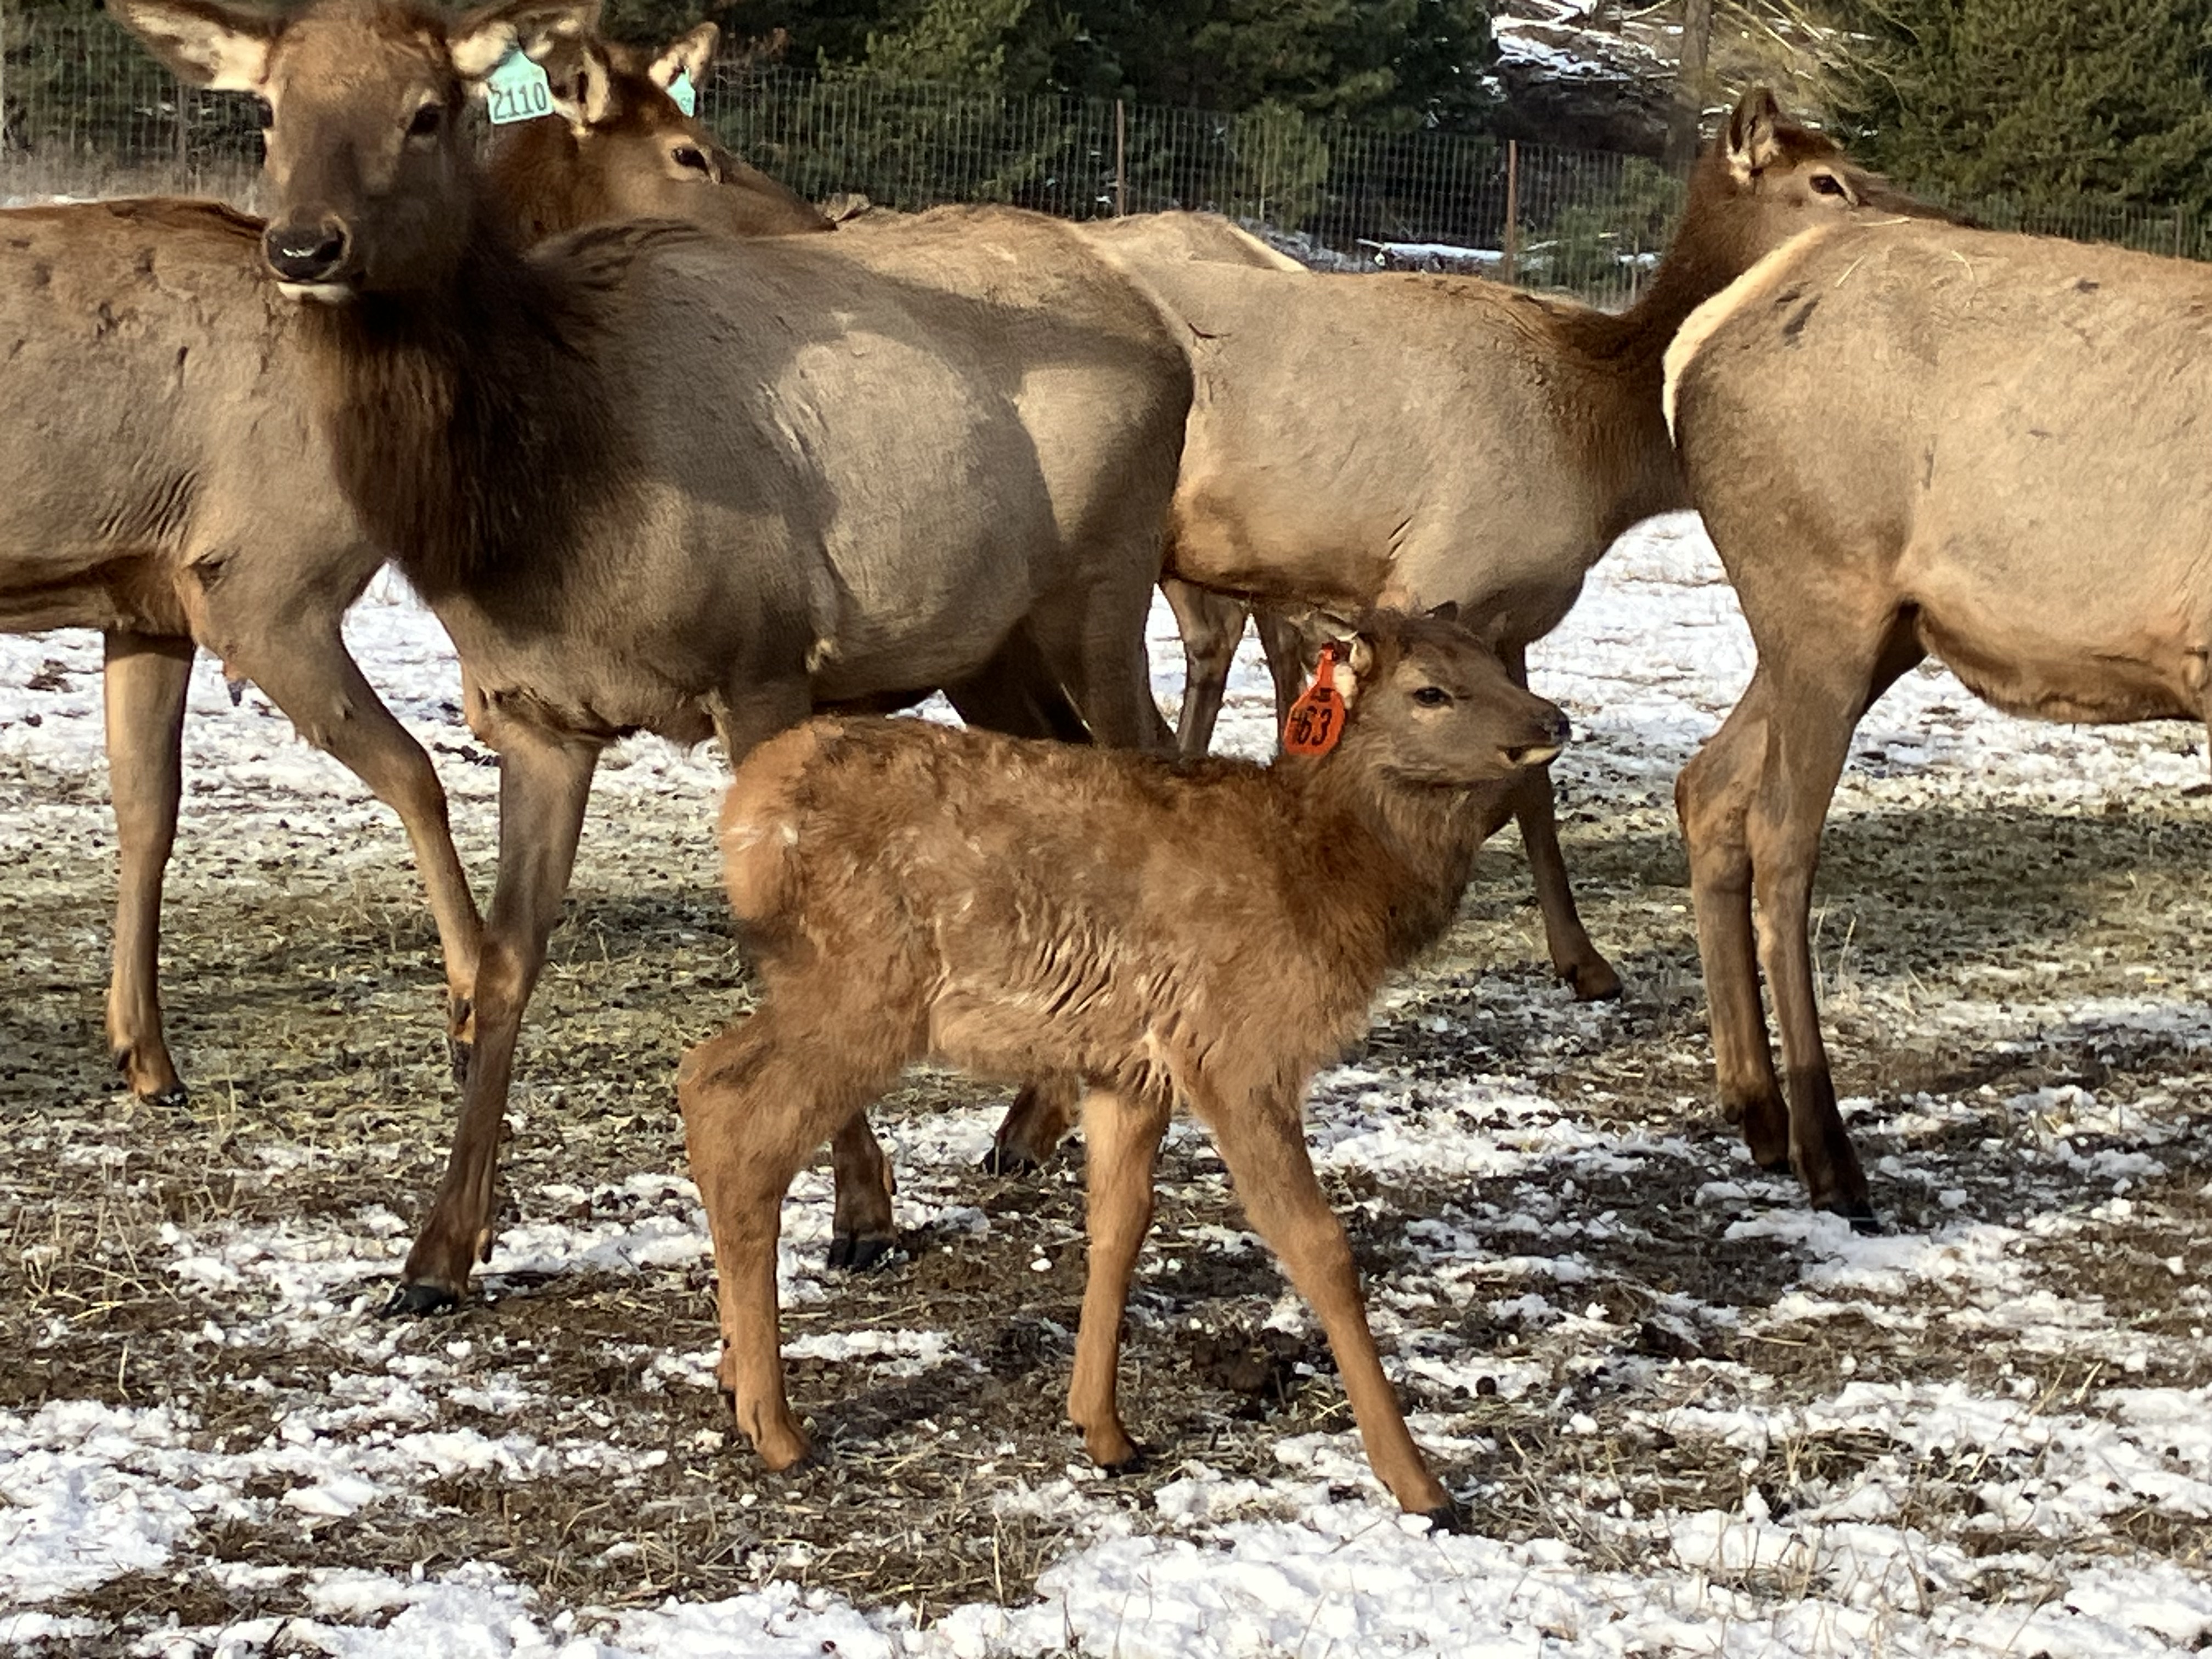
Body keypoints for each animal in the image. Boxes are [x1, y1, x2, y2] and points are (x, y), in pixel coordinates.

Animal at [0, 18, 818, 1107]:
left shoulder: (149, 595)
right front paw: (470, 1007)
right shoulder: (263, 583)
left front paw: (146, 1054)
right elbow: (418, 775)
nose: (819, 222)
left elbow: (147, 809)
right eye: (692, 152)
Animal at [114, 0, 1193, 1314]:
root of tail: (1163, 328)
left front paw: (864, 1212)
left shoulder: (763, 662)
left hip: (1105, 587)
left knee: (1147, 771)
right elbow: (508, 963)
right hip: (983, 642)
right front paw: (437, 1253)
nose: (304, 246)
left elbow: (785, 953)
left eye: (429, 112)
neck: (546, 509)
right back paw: (1028, 1123)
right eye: (269, 111)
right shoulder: (535, 713)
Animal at [679, 607, 1570, 1528]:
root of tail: (743, 818)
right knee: (738, 1122)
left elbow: (1118, 1224)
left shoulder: (1130, 1067)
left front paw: (1102, 1429)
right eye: (1432, 690)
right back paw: (777, 1426)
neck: (1328, 883)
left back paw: (735, 1376)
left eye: (1494, 661)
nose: (1553, 723)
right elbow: (1316, 1244)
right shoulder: (1234, 1047)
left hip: (820, 989)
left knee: (704, 1075)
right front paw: (1420, 1484)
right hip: (863, 988)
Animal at [1664, 215, 2210, 1222]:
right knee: (1780, 834)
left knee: (1709, 783)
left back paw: (1755, 1109)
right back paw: (1828, 1154)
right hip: (1822, 599)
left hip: (1875, 630)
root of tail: (1695, 344)